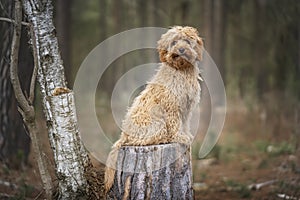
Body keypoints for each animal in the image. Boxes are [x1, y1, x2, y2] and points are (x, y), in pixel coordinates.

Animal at [103, 25, 204, 193]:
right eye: (174, 42)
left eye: (187, 41)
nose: (181, 49)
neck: (181, 70)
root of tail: (123, 135)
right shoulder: (171, 105)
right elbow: (175, 124)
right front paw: (179, 137)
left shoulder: (187, 107)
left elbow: (184, 124)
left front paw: (186, 135)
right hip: (156, 124)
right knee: (142, 141)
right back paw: (164, 139)